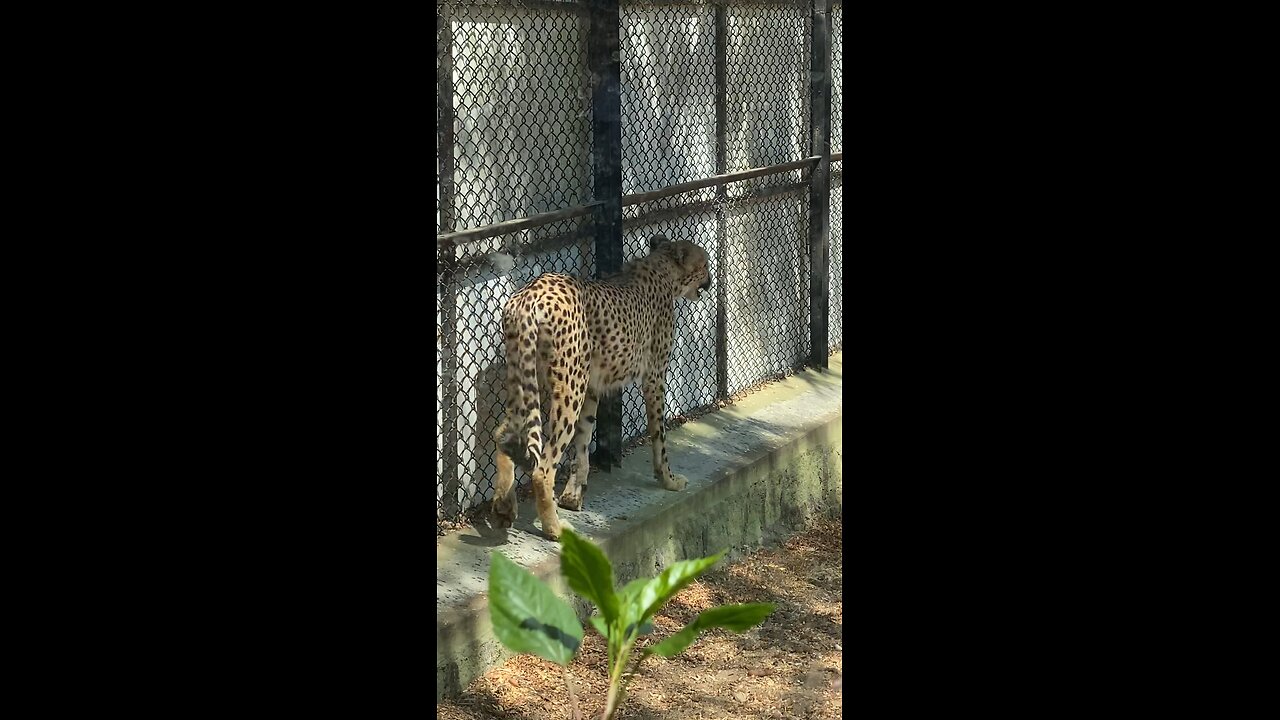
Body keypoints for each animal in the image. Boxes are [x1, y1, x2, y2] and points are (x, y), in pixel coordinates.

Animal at [488, 235, 711, 538]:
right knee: (542, 468)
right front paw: (669, 480)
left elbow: (584, 442)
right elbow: (659, 436)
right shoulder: (654, 377)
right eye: (704, 264)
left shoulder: (592, 386)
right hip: (568, 387)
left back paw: (504, 507)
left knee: (504, 435)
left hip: (526, 377)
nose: (710, 281)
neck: (661, 268)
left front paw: (572, 496)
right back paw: (554, 527)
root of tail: (533, 290)